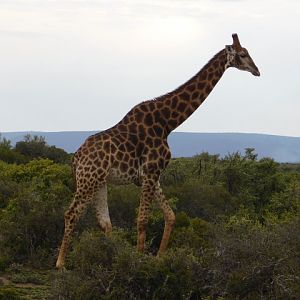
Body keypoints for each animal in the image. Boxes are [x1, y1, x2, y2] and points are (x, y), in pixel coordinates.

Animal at [56, 34, 260, 268]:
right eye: (243, 55)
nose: (257, 70)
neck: (167, 123)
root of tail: (75, 158)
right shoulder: (150, 173)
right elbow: (143, 220)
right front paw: (139, 260)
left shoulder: (153, 176)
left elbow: (170, 215)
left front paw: (159, 258)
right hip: (88, 180)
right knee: (71, 214)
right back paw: (61, 264)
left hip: (100, 182)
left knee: (104, 221)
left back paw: (115, 255)